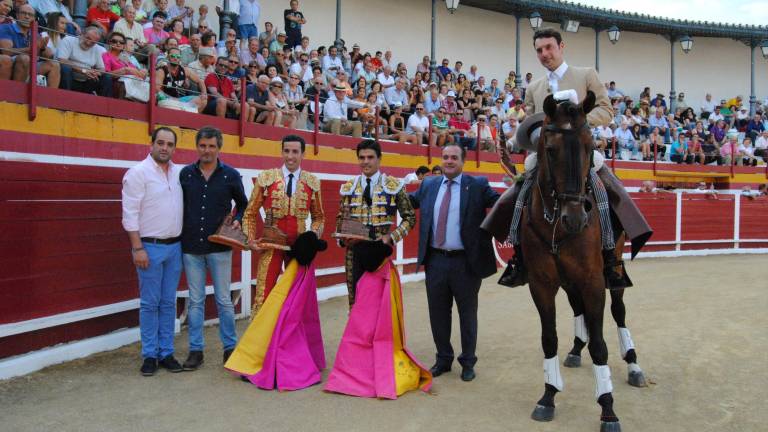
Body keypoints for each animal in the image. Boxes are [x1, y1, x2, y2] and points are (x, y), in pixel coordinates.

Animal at [524, 89, 620, 430]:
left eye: (591, 147)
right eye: (550, 150)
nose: (576, 219)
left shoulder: (594, 281)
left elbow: (601, 345)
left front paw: (608, 409)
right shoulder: (541, 283)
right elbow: (548, 338)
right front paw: (548, 396)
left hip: (614, 269)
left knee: (619, 313)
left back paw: (634, 366)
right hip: (568, 281)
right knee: (579, 309)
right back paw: (578, 349)